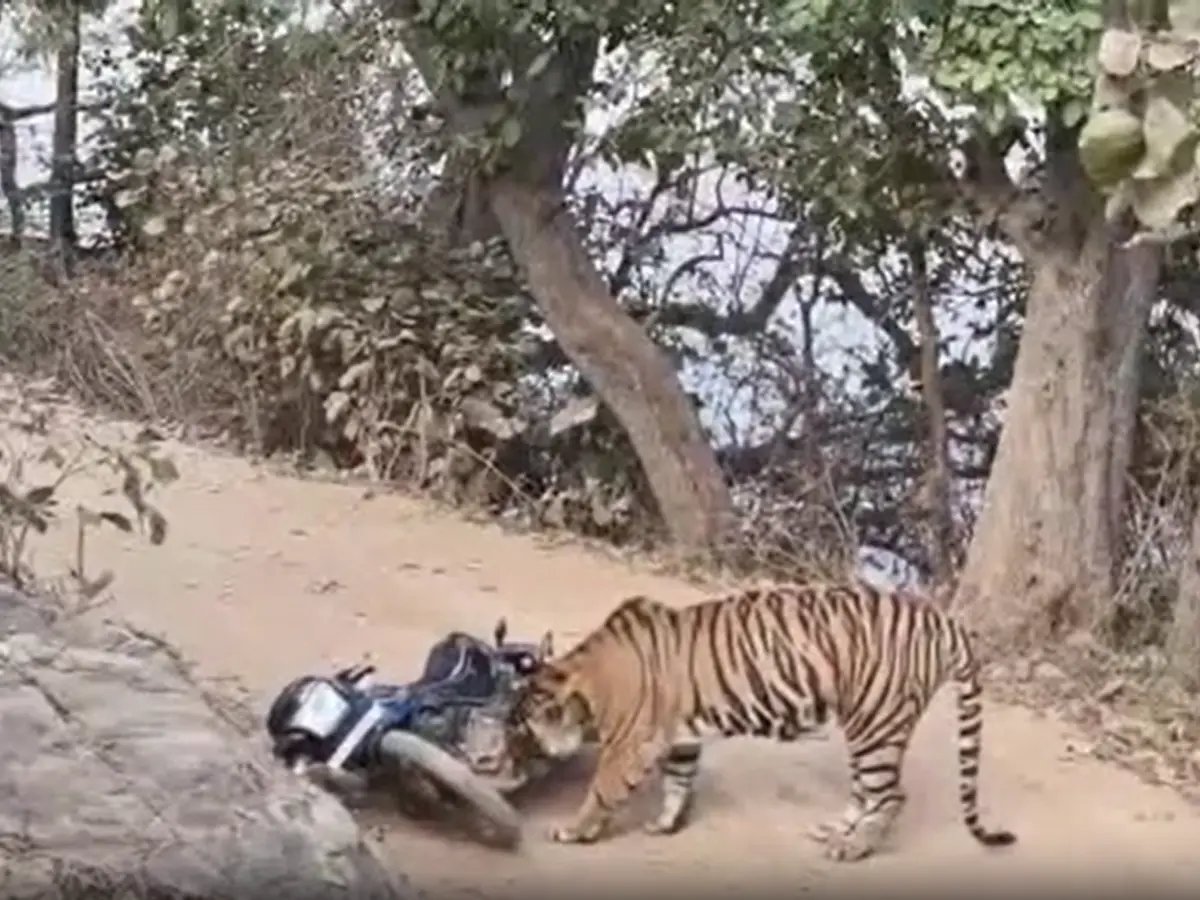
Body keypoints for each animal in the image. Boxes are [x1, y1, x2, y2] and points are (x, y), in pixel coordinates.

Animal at [510, 579, 1017, 862]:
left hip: (877, 721)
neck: (590, 682)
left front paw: (574, 830)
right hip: (867, 727)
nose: (524, 753)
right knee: (866, 790)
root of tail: (942, 620)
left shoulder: (629, 744)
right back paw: (836, 829)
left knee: (890, 795)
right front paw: (666, 823)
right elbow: (678, 779)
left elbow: (601, 790)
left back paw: (852, 848)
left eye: (525, 726)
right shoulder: (680, 736)